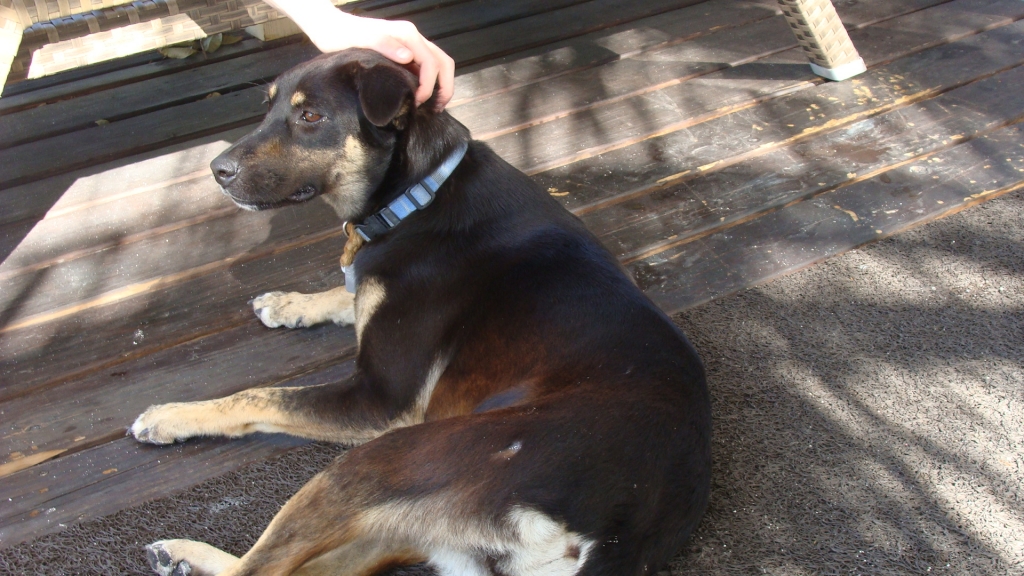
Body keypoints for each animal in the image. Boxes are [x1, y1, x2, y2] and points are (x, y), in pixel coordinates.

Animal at [130, 49, 712, 573]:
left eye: (310, 116)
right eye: (268, 108)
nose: (216, 170)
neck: (418, 193)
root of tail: (614, 531)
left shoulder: (377, 401)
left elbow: (257, 395)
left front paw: (171, 415)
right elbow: (348, 292)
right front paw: (289, 303)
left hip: (375, 464)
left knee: (263, 568)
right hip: (405, 529)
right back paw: (183, 557)